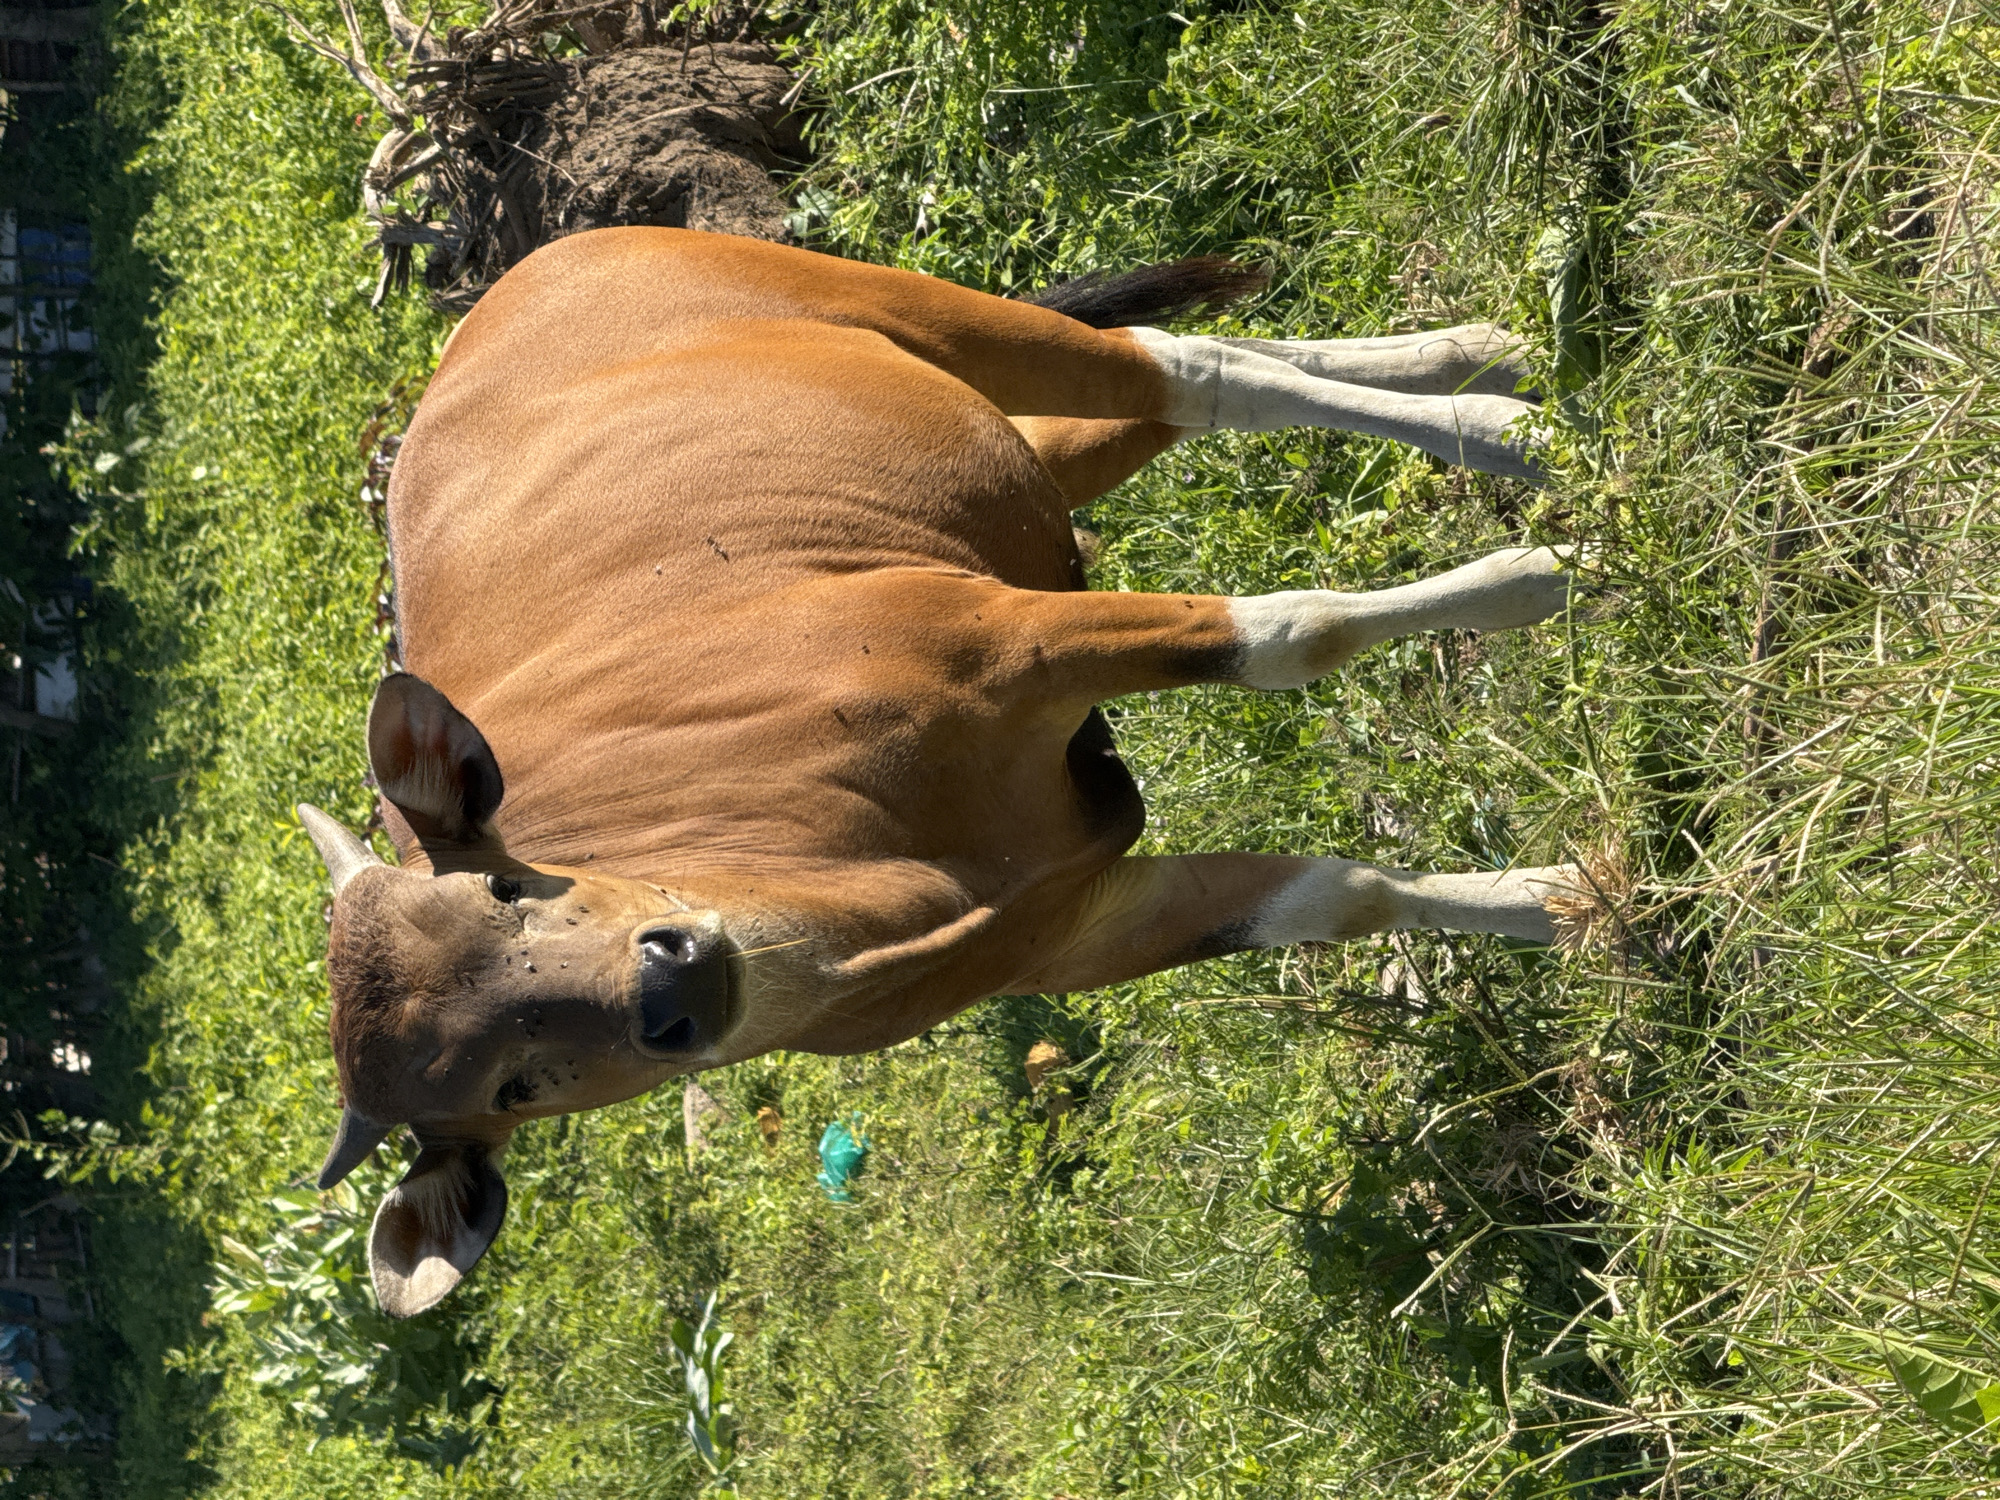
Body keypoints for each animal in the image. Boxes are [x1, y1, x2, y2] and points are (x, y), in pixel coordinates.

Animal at [296, 228, 1582, 1316]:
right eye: (508, 1088)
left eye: (505, 886)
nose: (670, 988)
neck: (879, 876)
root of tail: (481, 323)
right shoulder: (1086, 928)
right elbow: (1336, 894)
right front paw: (1562, 902)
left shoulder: (1018, 637)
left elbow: (1287, 634)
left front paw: (1531, 577)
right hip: (997, 460)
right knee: (1180, 391)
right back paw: (1484, 354)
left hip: (924, 317)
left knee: (1183, 362)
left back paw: (1501, 426)